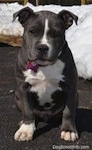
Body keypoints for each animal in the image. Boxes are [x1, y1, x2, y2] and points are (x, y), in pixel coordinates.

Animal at [13, 7, 78, 142]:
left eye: (56, 33)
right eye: (32, 31)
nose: (42, 48)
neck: (44, 66)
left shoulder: (71, 87)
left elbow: (68, 111)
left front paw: (68, 130)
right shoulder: (23, 88)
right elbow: (27, 110)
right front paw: (26, 129)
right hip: (17, 95)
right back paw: (23, 122)